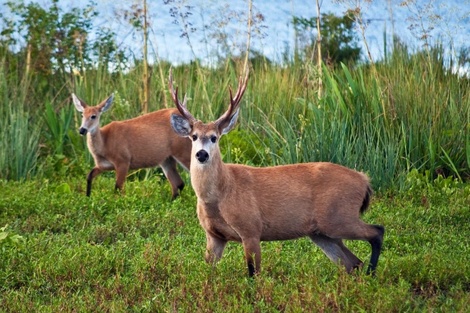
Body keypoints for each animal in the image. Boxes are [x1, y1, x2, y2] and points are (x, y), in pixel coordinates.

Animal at [169, 70, 386, 276]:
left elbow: (253, 273)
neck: (221, 193)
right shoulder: (214, 236)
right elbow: (208, 271)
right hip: (322, 232)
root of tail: (364, 180)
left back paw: (372, 274)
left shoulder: (251, 228)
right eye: (194, 136)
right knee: (353, 262)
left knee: (377, 232)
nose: (202, 154)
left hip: (339, 216)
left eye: (214, 137)